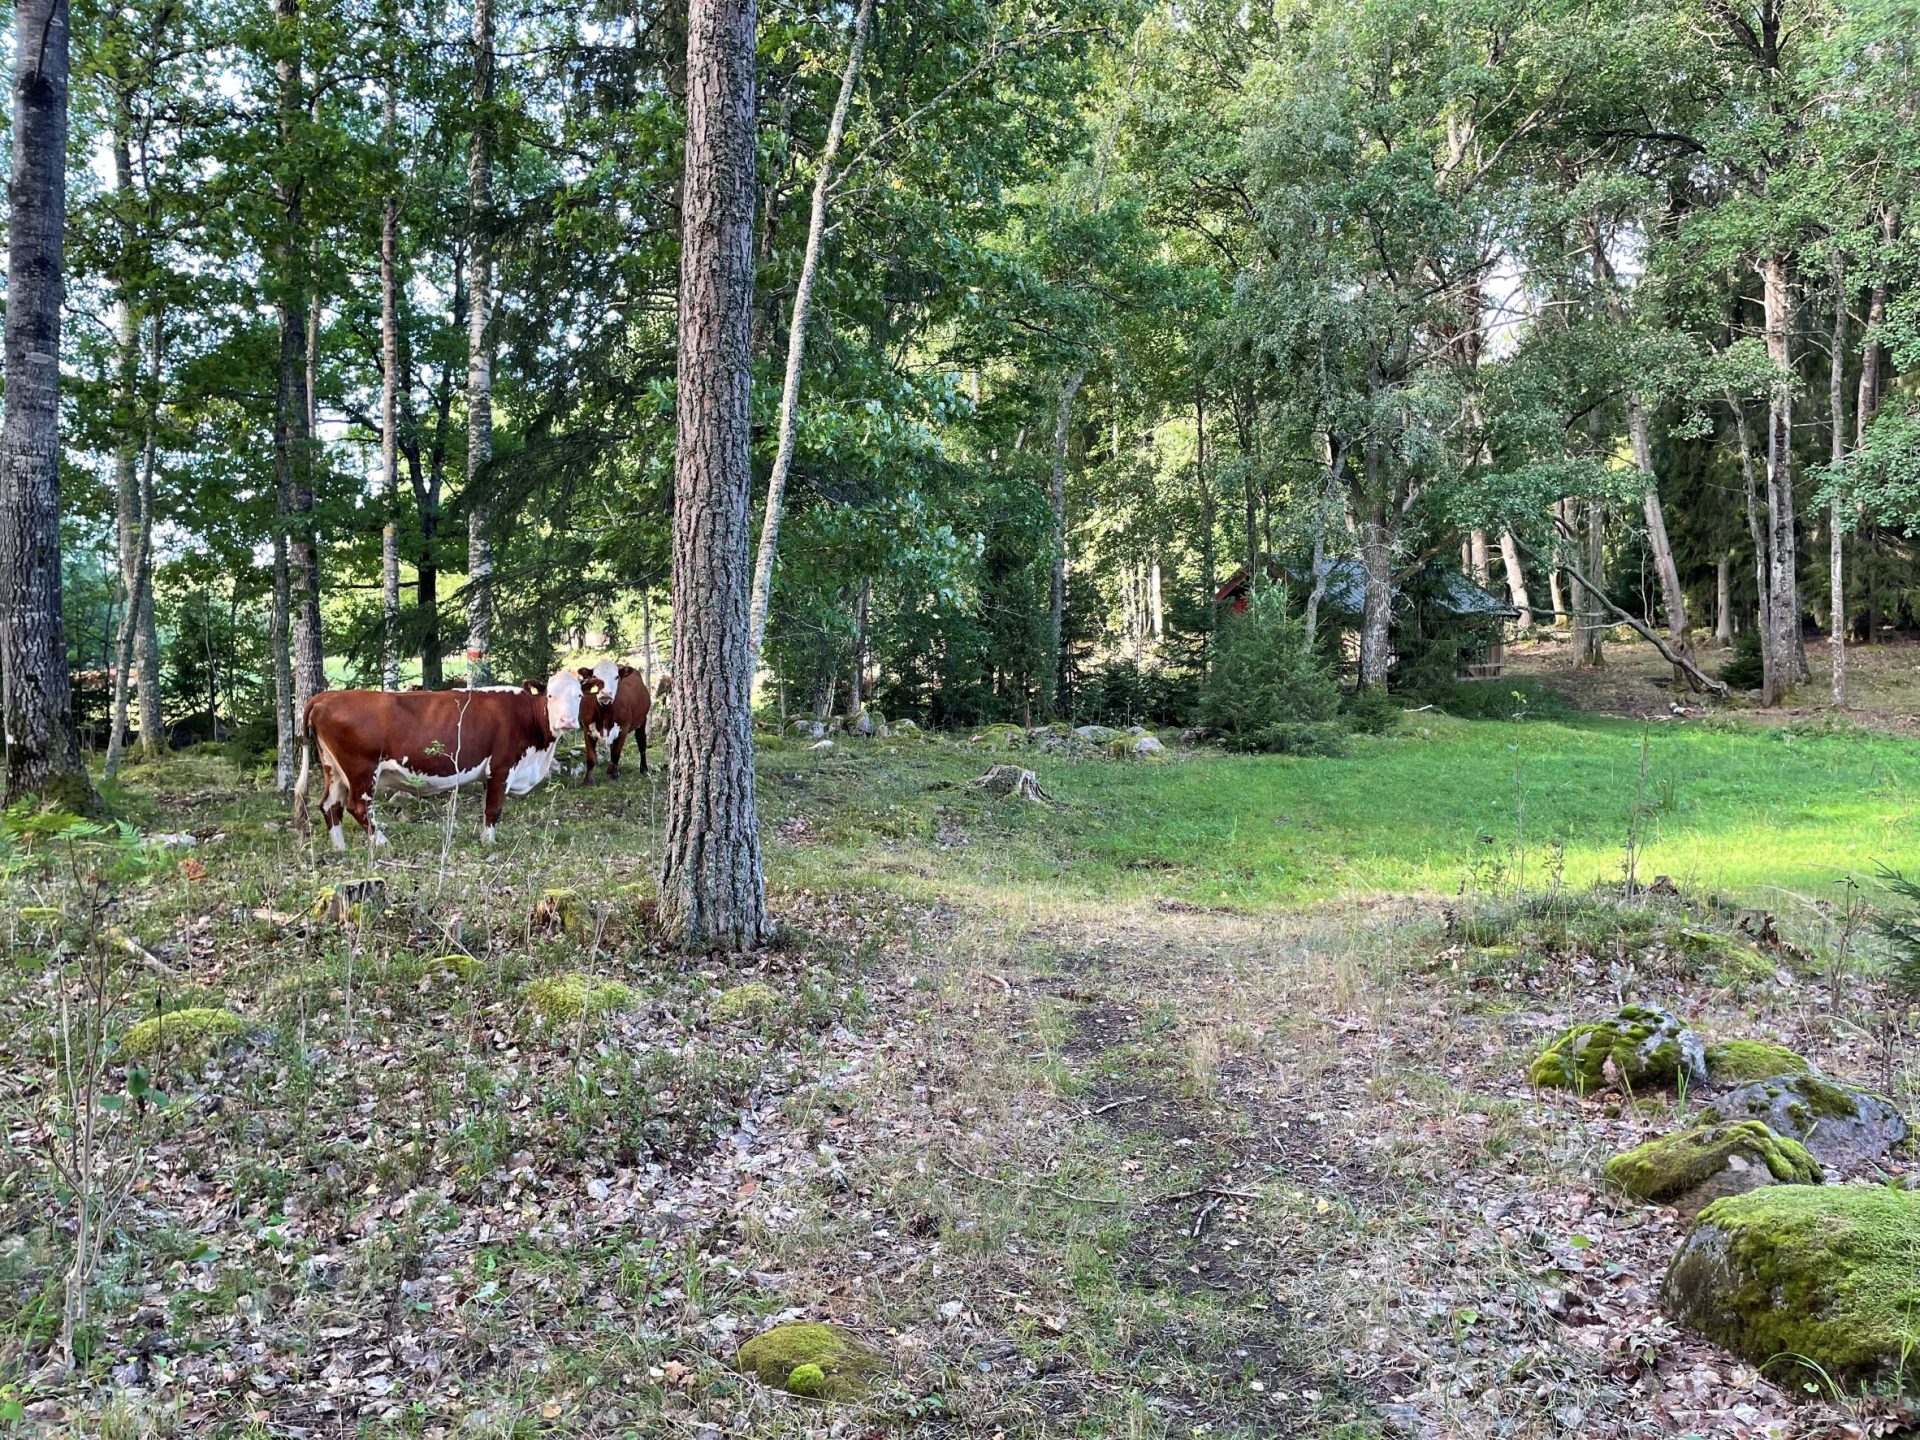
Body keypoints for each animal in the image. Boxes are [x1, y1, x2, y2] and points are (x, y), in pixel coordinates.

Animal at [288, 672, 591, 852]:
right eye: (550, 695)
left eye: (579, 695)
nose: (567, 721)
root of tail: (328, 695)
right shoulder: (502, 766)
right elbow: (493, 809)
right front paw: (489, 843)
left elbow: (487, 808)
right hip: (361, 769)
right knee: (357, 807)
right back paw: (382, 842)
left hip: (334, 769)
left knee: (330, 805)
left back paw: (340, 847)